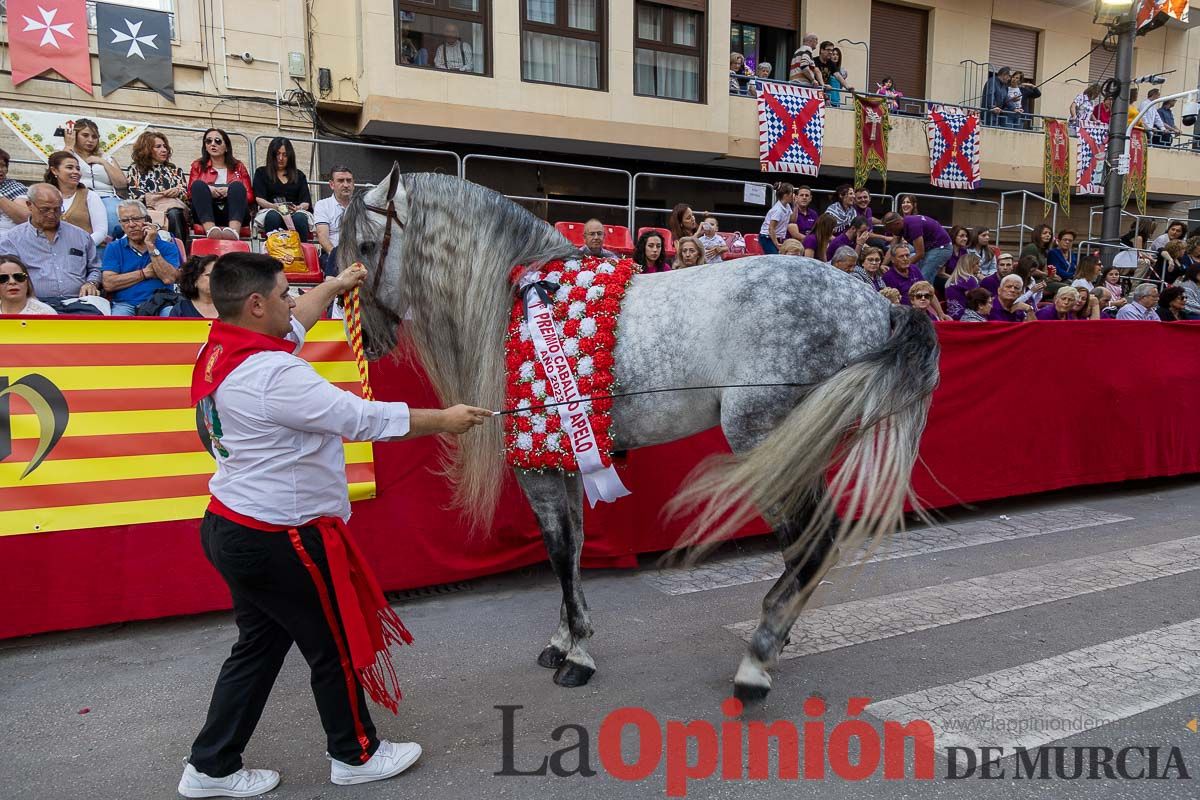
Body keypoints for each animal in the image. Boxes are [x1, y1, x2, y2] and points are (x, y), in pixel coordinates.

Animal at [336, 164, 936, 700]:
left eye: (365, 246)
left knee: (815, 542)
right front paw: (564, 638)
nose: (365, 338)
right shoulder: (564, 456)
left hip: (765, 443)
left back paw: (756, 661)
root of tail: (875, 304)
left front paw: (577, 655)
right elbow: (573, 547)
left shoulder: (539, 462)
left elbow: (559, 549)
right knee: (805, 548)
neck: (520, 300)